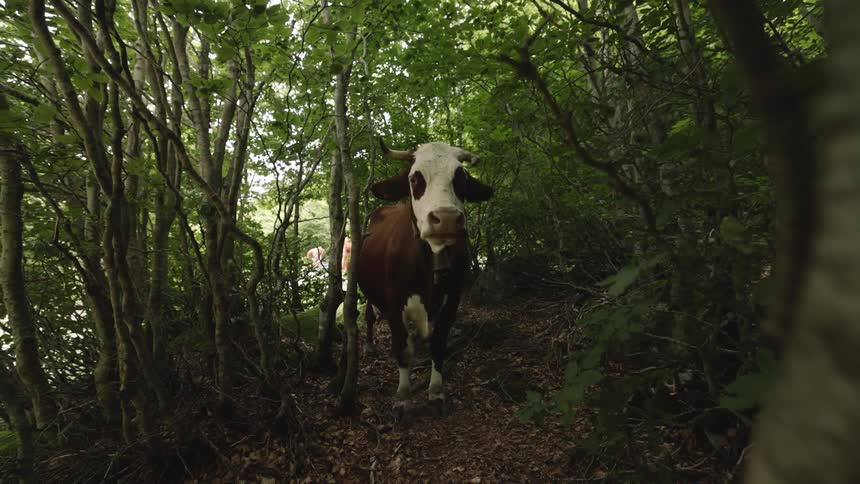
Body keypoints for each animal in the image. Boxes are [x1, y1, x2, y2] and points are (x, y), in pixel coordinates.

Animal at [356, 141, 494, 413]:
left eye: (461, 179)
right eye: (414, 178)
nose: (447, 218)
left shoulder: (453, 300)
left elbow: (438, 344)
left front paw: (436, 392)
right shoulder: (394, 303)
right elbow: (401, 348)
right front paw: (402, 396)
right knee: (369, 315)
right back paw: (369, 343)